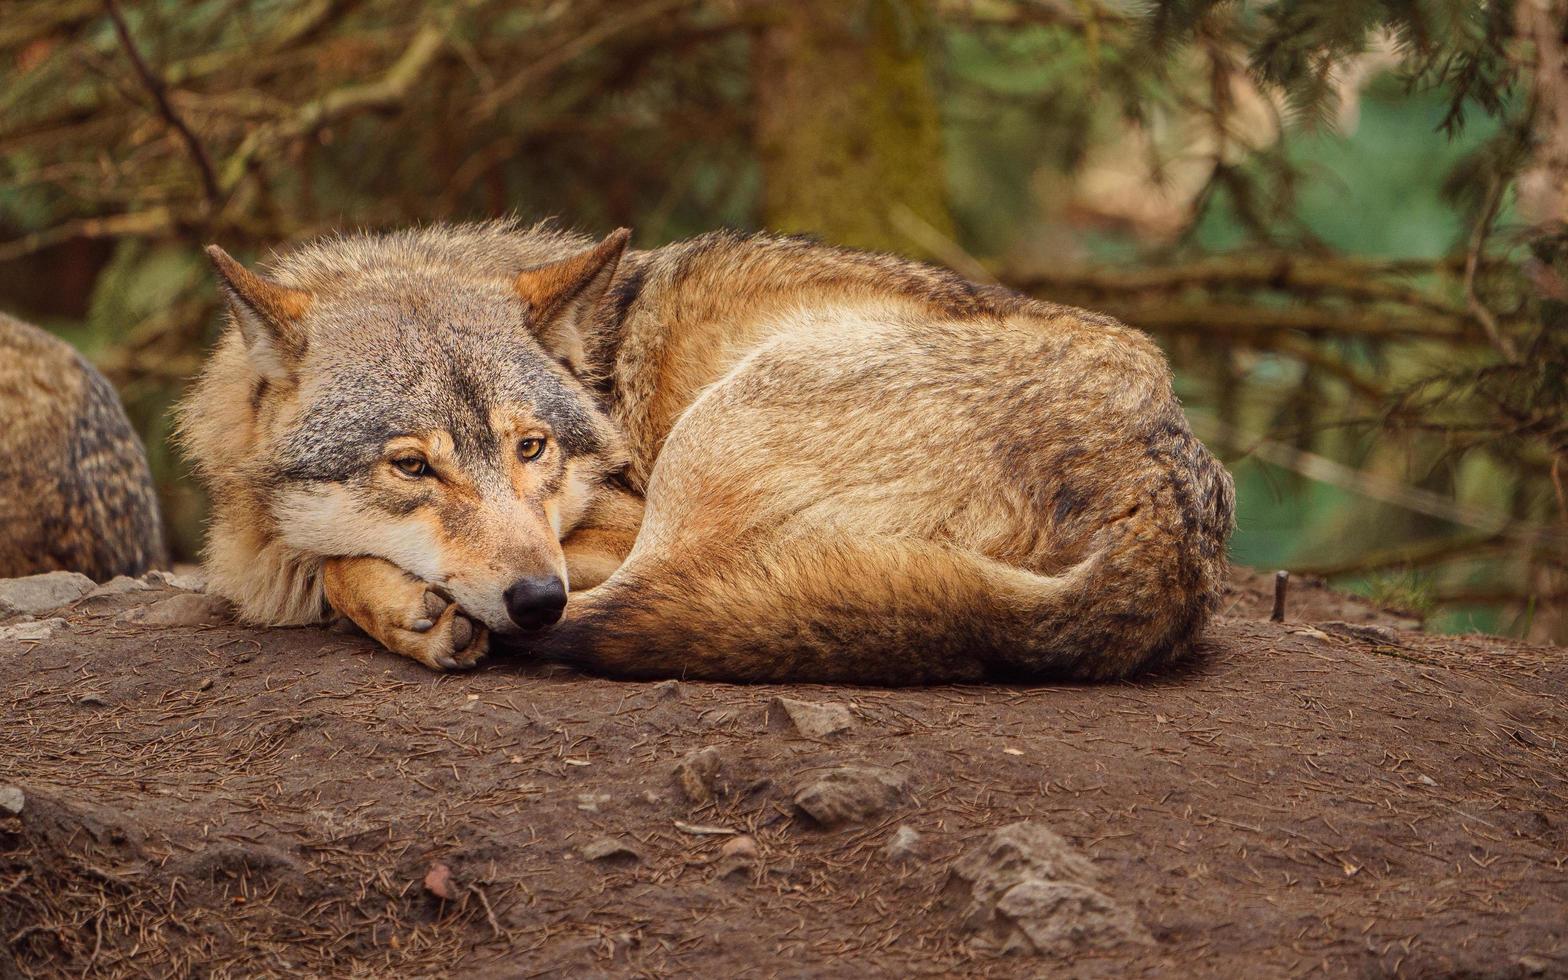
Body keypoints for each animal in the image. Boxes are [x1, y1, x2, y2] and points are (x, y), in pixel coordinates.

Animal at [180, 221, 1235, 680]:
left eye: (531, 448)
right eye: (412, 466)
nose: (533, 597)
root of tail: (1168, 505)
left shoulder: (612, 521)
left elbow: (332, 562)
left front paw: (402, 607)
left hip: (714, 439)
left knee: (646, 596)